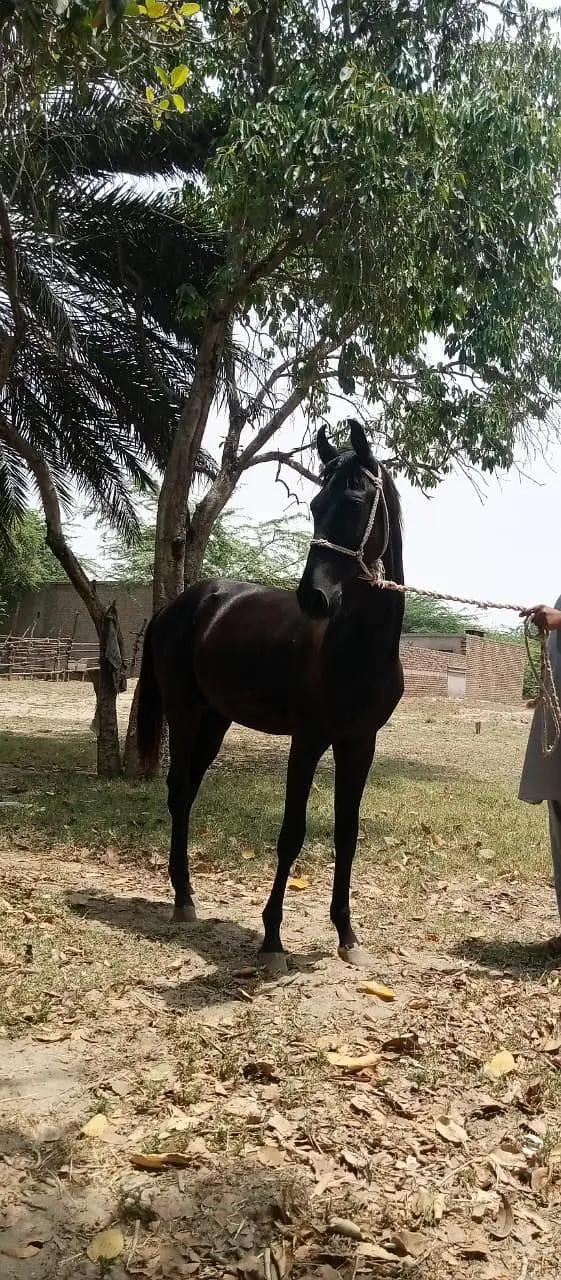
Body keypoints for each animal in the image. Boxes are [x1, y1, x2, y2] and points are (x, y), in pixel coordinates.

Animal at [136, 419, 405, 973]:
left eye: (357, 502)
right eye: (316, 504)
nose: (313, 598)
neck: (356, 647)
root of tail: (182, 604)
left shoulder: (359, 743)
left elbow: (346, 833)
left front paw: (347, 933)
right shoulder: (308, 741)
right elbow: (292, 833)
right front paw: (273, 939)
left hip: (216, 719)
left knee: (188, 791)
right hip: (185, 713)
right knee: (178, 790)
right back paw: (182, 899)